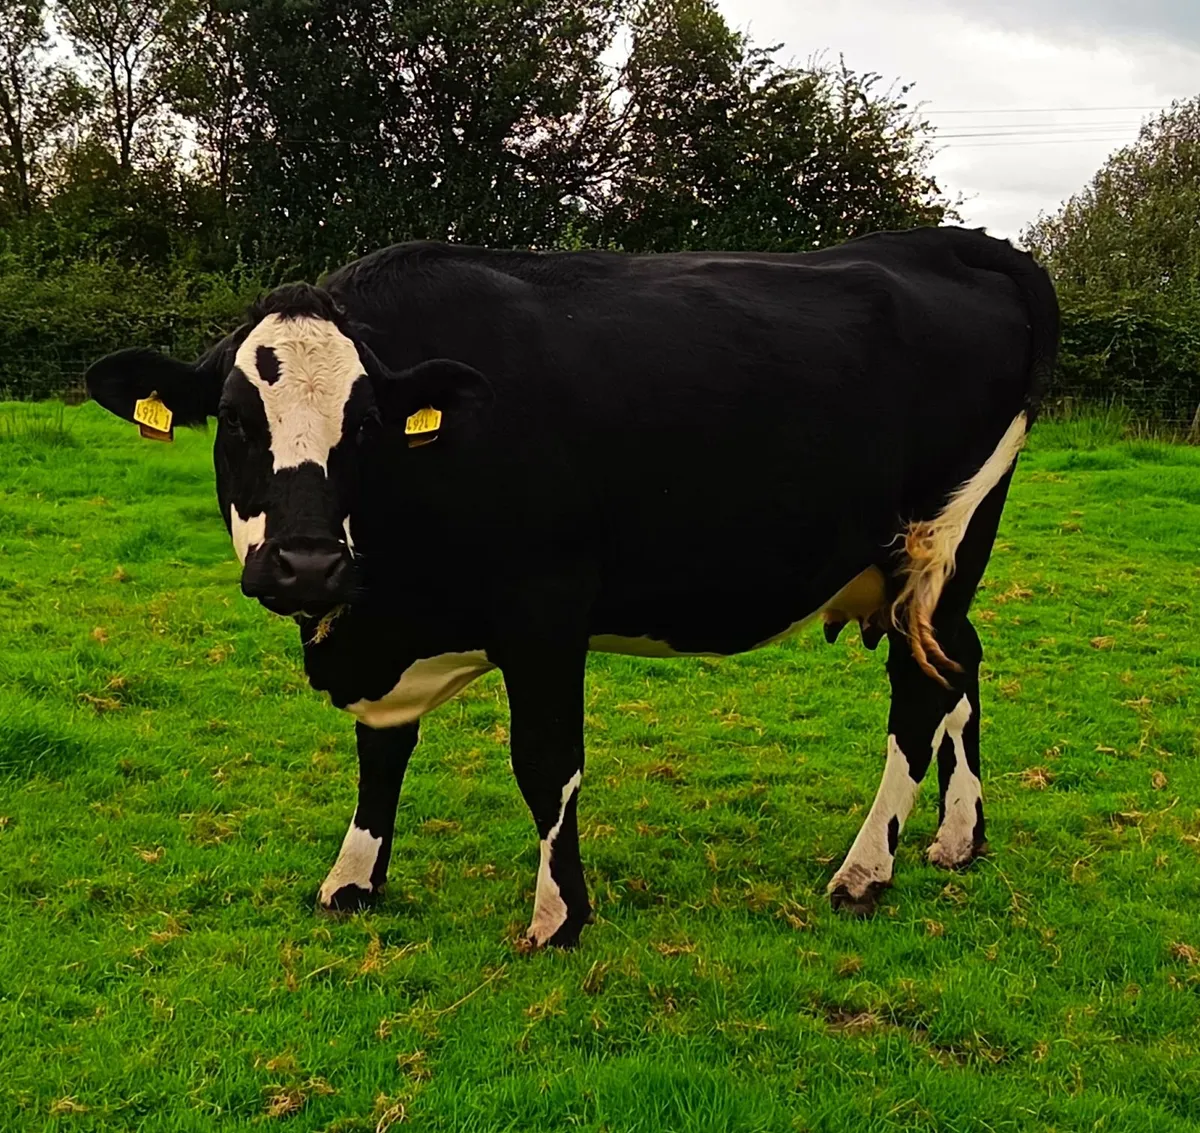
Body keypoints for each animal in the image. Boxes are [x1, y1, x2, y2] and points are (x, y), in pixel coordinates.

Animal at [84, 227, 1059, 948]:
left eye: (364, 424)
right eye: (234, 421)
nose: (307, 564)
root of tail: (953, 241)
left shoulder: (546, 610)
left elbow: (546, 763)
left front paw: (559, 915)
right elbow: (381, 751)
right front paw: (353, 878)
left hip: (934, 542)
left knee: (921, 688)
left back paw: (865, 869)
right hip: (935, 574)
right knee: (961, 661)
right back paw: (958, 837)